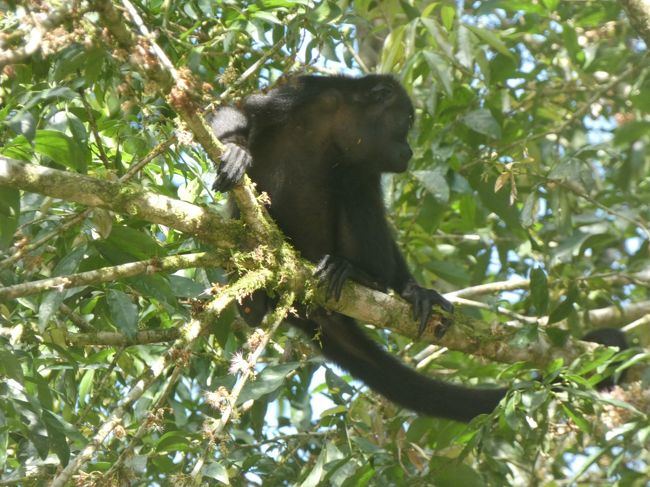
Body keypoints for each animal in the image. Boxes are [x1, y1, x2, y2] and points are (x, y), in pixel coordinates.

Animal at [210, 74, 624, 422]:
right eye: (406, 123)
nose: (408, 150)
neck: (334, 130)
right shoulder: (301, 94)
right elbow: (243, 109)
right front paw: (235, 148)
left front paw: (413, 290)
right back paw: (254, 303)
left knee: (354, 183)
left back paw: (365, 277)